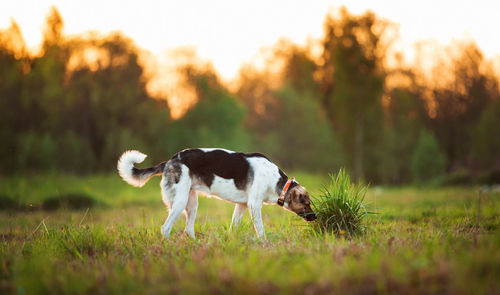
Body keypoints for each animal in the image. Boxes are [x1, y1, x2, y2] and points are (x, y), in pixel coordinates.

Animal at [117, 149, 316, 239]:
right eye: (306, 203)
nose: (315, 217)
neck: (277, 182)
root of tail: (170, 161)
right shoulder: (254, 205)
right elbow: (260, 230)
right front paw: (265, 245)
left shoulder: (242, 206)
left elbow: (233, 227)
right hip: (179, 202)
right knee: (165, 228)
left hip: (192, 203)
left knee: (188, 229)